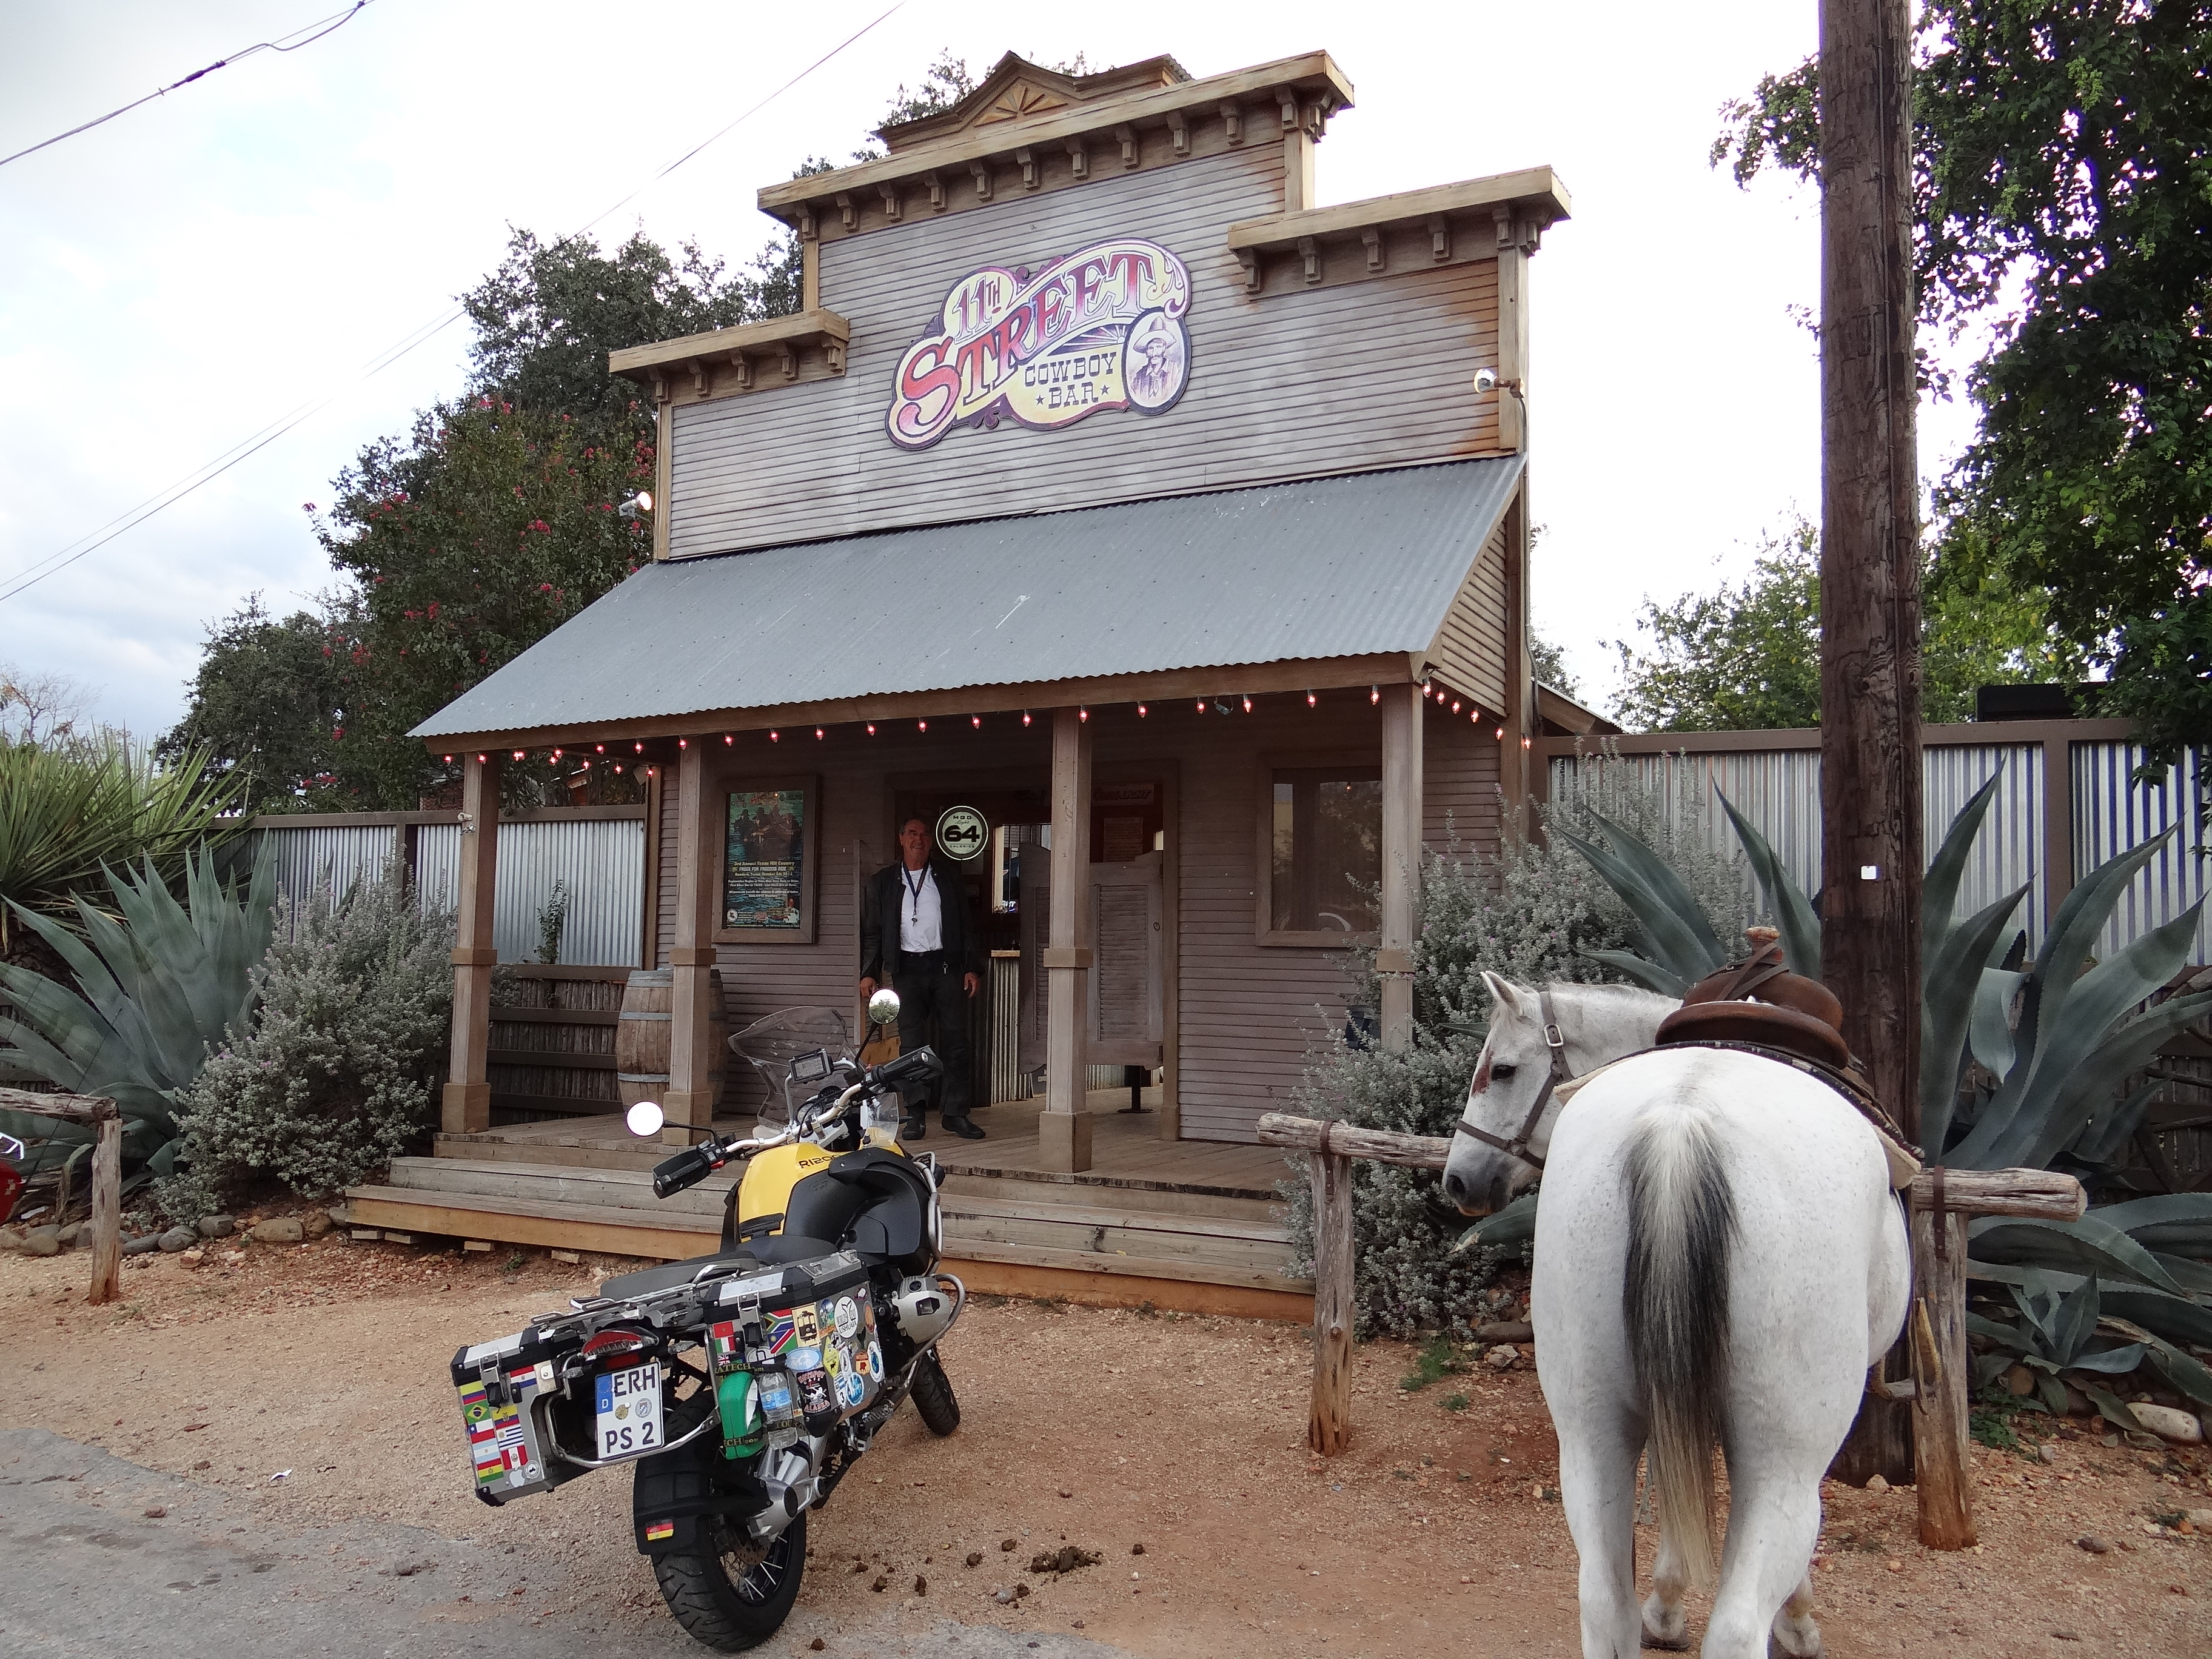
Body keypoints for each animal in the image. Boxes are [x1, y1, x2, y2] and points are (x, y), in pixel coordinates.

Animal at [1442, 972, 1911, 1659]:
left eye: (1501, 1070)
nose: (1458, 1182)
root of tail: (1680, 1122)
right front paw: (1796, 1622)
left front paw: (1663, 1607)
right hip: (1783, 1464)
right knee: (1738, 1625)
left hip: (1591, 1436)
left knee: (1604, 1603)